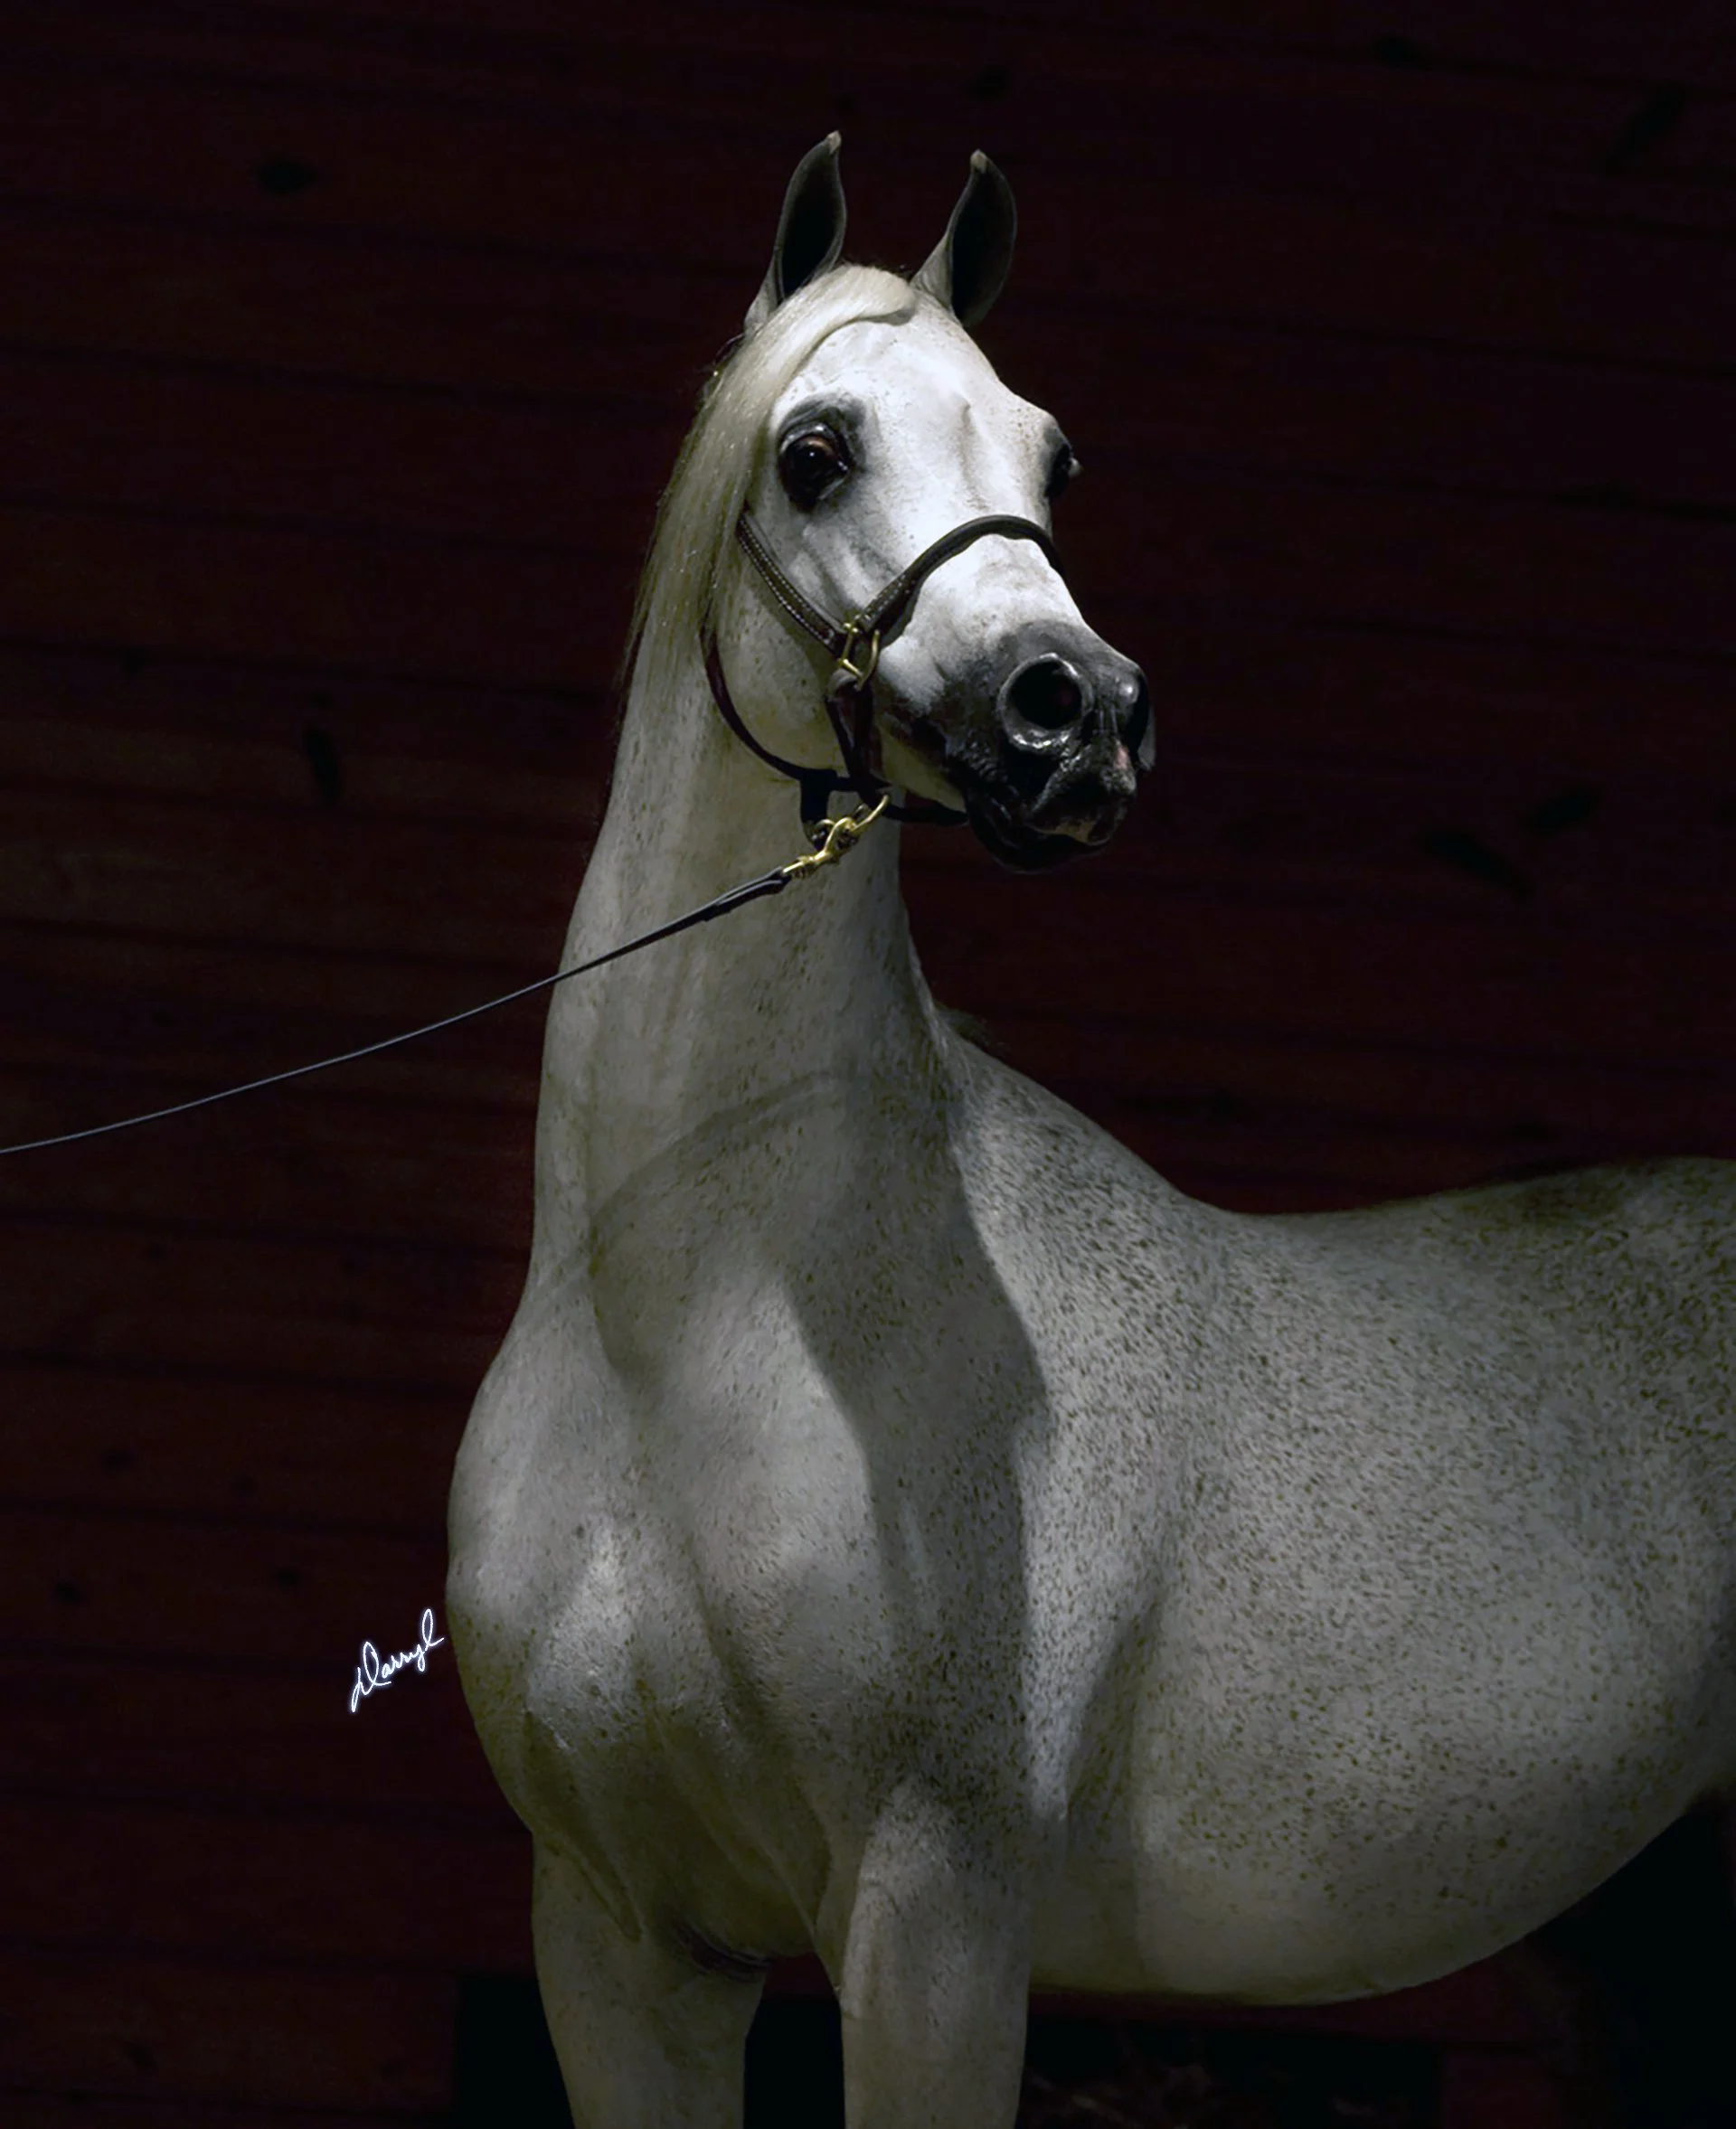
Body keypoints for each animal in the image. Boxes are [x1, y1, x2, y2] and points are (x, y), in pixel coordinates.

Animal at [447, 135, 1736, 2128]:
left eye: (1052, 458)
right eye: (814, 448)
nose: (1082, 716)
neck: (695, 1327)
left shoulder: (933, 1922)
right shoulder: (618, 1938)